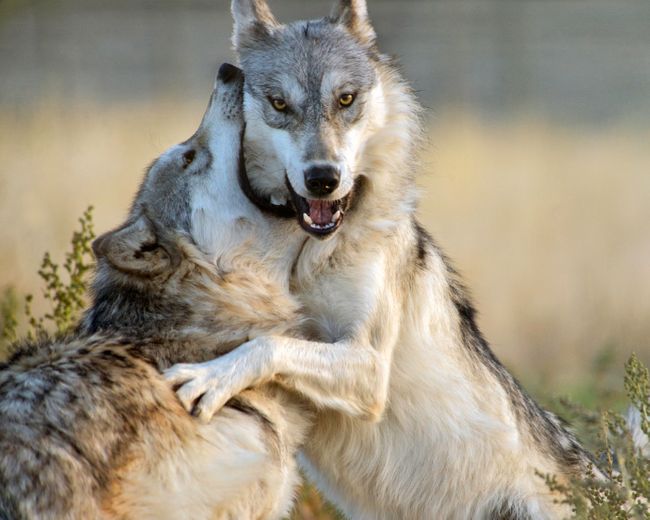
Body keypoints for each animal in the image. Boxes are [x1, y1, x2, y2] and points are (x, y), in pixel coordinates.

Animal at [165, 2, 600, 518]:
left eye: (346, 99)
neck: (303, 253)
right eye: (279, 104)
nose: (323, 178)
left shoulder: (370, 367)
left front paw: (212, 376)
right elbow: (267, 338)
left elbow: (269, 345)